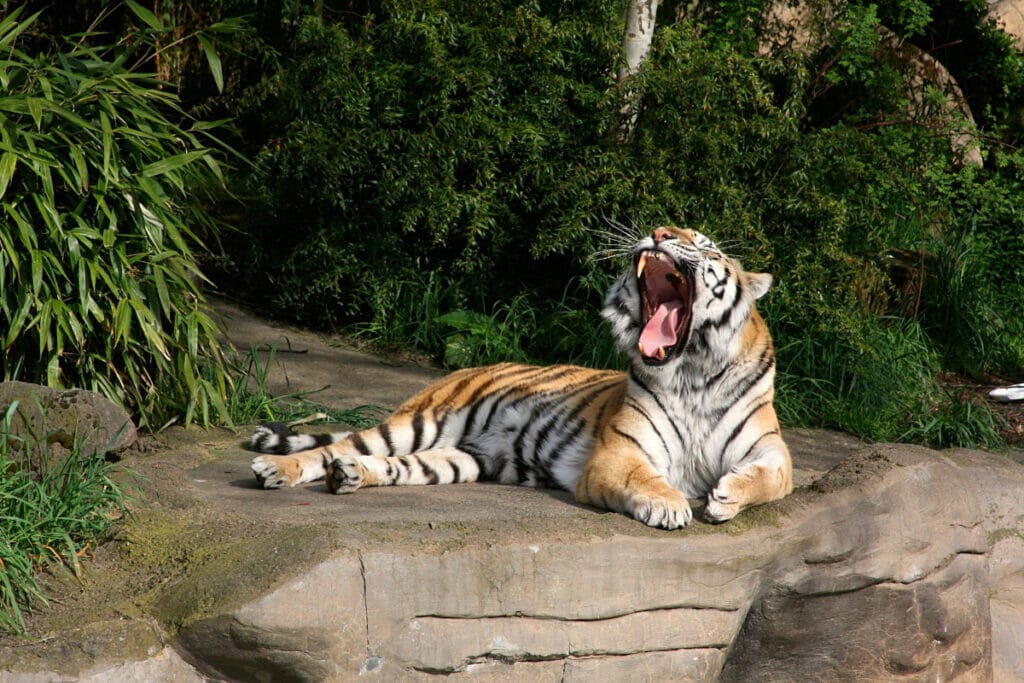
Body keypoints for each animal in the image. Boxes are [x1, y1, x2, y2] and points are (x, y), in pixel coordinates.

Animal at [247, 227, 790, 532]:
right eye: (670, 228)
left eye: (704, 244)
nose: (659, 232)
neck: (692, 373)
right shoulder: (618, 454)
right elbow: (645, 478)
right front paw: (670, 505)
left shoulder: (771, 450)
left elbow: (770, 479)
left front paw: (725, 496)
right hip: (417, 423)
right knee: (332, 449)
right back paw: (277, 470)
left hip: (463, 458)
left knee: (390, 465)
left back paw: (352, 476)